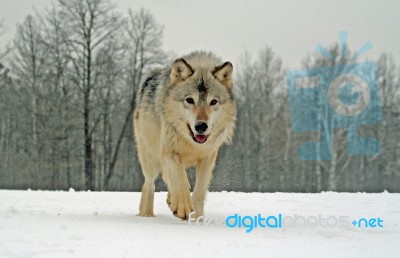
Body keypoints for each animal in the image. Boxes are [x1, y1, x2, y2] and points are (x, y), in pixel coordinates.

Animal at [133, 51, 236, 219]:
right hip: (150, 157)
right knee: (149, 183)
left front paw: (197, 217)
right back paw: (147, 215)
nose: (201, 126)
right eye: (189, 100)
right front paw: (183, 206)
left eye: (213, 102)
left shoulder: (208, 158)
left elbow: (199, 190)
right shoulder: (169, 153)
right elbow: (179, 176)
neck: (191, 143)